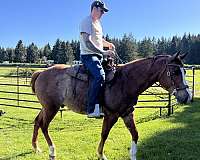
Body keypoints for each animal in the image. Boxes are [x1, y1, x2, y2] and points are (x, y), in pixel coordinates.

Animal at [30, 52, 191, 159]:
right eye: (175, 71)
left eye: (184, 71)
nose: (187, 96)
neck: (125, 81)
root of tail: (41, 73)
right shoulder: (111, 115)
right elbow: (104, 134)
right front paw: (101, 155)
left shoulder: (127, 113)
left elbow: (135, 134)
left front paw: (133, 155)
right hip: (51, 108)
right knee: (44, 125)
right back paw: (52, 151)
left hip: (46, 107)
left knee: (37, 121)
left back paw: (36, 148)